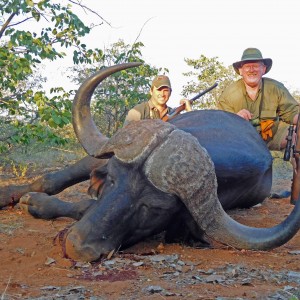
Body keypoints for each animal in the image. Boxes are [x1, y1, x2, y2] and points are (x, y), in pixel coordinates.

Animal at [2, 62, 300, 262]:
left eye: (152, 209)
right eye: (112, 180)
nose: (77, 246)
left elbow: (85, 205)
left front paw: (36, 203)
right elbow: (52, 179)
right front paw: (15, 195)